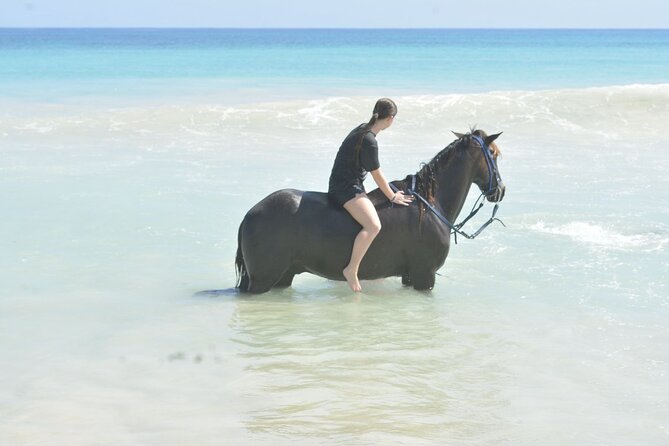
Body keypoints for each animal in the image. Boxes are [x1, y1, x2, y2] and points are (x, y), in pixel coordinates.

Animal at [234, 129, 505, 293]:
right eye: (493, 154)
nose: (500, 190)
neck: (429, 204)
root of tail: (249, 214)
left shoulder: (411, 276)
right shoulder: (424, 275)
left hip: (283, 276)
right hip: (263, 280)